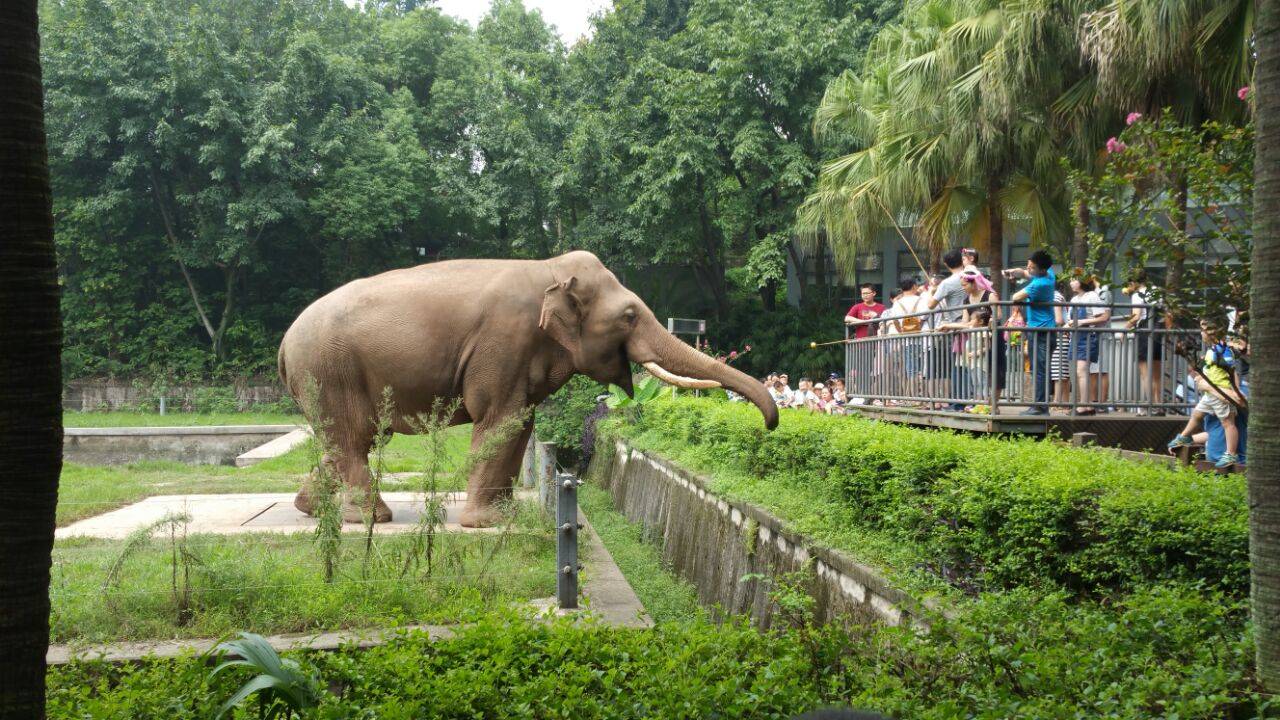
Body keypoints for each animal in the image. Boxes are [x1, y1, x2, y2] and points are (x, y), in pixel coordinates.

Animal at [277, 249, 778, 525]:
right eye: (630, 316)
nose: (770, 426)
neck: (550, 271)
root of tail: (283, 344)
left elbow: (521, 422)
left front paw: (506, 517)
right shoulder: (505, 341)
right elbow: (499, 417)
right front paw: (483, 525)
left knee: (353, 440)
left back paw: (312, 510)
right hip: (327, 369)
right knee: (353, 438)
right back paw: (371, 519)